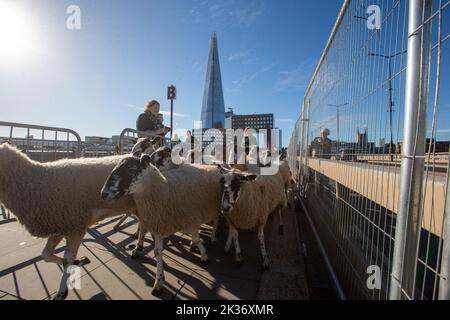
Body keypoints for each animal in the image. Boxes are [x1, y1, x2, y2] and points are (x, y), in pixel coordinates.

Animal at [0, 144, 135, 298]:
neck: (35, 182)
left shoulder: (76, 226)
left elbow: (66, 261)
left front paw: (62, 292)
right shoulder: (59, 226)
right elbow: (46, 255)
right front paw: (79, 261)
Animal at [100, 155, 223, 296]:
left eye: (131, 170)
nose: (103, 193)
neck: (164, 190)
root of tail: (213, 165)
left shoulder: (189, 217)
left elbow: (196, 237)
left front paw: (203, 255)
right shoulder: (157, 223)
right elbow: (157, 251)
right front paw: (158, 282)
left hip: (215, 206)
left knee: (216, 219)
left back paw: (213, 237)